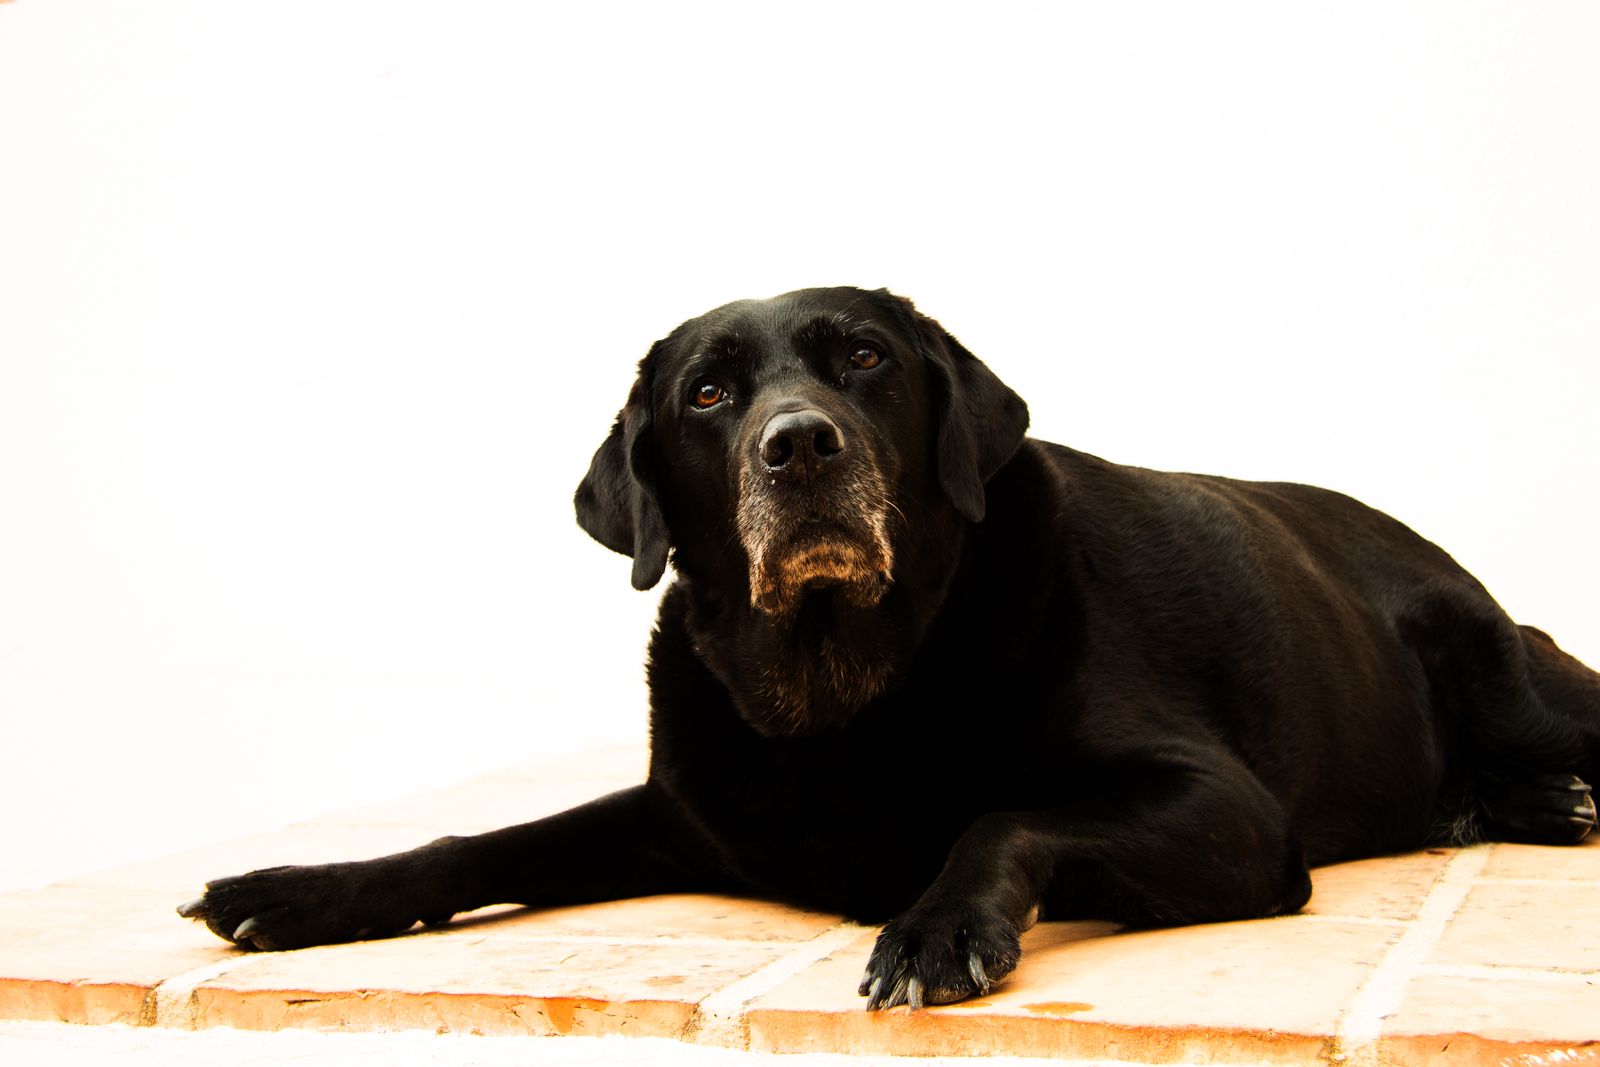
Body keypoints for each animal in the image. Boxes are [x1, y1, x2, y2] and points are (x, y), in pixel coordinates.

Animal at [180, 286, 1600, 1010]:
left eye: (862, 358)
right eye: (708, 392)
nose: (798, 444)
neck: (838, 691)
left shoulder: (1227, 809)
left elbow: (1004, 811)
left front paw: (934, 922)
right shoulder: (679, 815)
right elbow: (476, 841)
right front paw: (299, 890)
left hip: (1500, 665)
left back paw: (1544, 793)